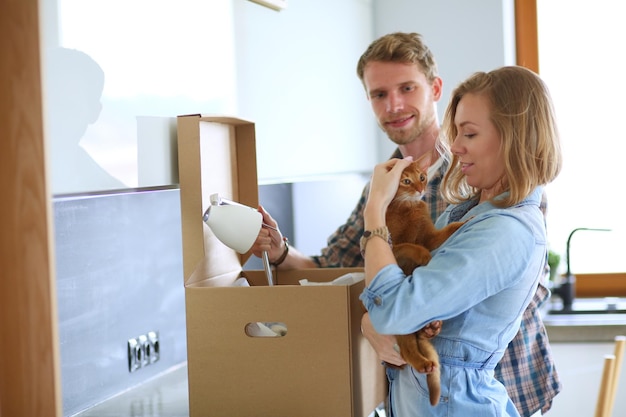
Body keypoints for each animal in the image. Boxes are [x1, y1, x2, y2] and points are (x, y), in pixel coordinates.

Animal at [382, 158, 466, 404]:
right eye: (405, 181)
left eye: (421, 177)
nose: (420, 190)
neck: (409, 207)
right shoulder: (393, 248)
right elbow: (412, 246)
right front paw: (425, 257)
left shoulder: (430, 237)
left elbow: (447, 230)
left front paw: (465, 222)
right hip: (402, 328)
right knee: (407, 350)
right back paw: (423, 363)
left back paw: (432, 329)